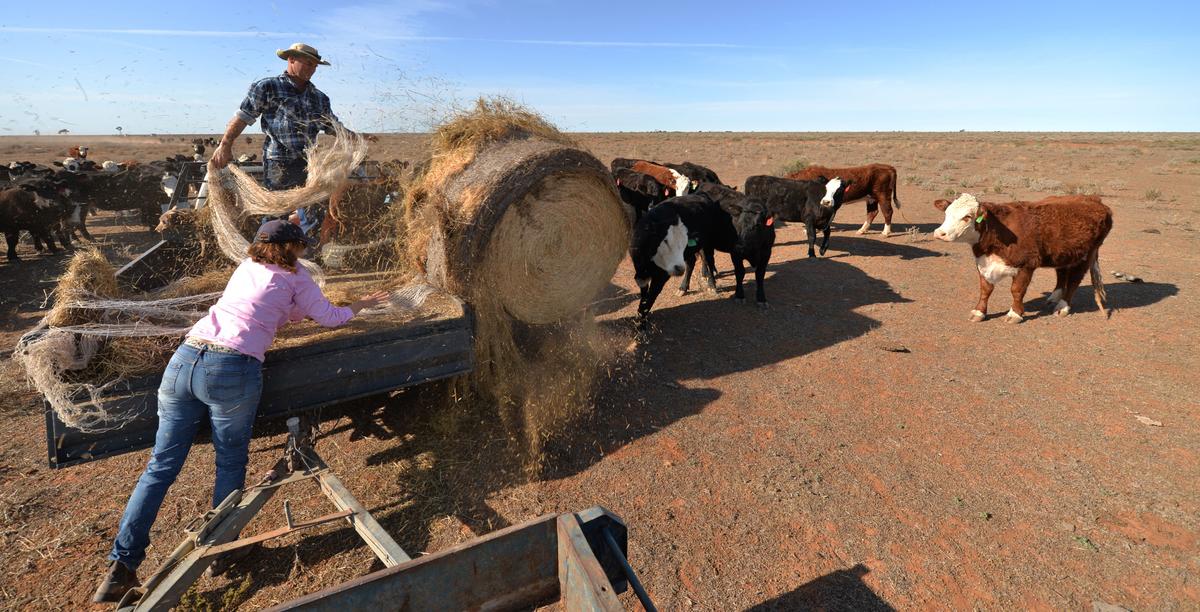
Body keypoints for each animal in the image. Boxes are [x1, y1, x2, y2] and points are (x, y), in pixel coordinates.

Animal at [932, 193, 1113, 323]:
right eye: (946, 213)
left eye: (967, 217)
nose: (940, 233)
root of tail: (1096, 200)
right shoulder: (984, 264)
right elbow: (985, 289)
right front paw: (979, 312)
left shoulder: (1026, 265)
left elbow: (1017, 290)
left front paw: (1015, 314)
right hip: (1063, 253)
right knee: (1061, 274)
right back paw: (1054, 297)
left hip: (1086, 255)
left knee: (1074, 280)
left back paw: (1063, 307)